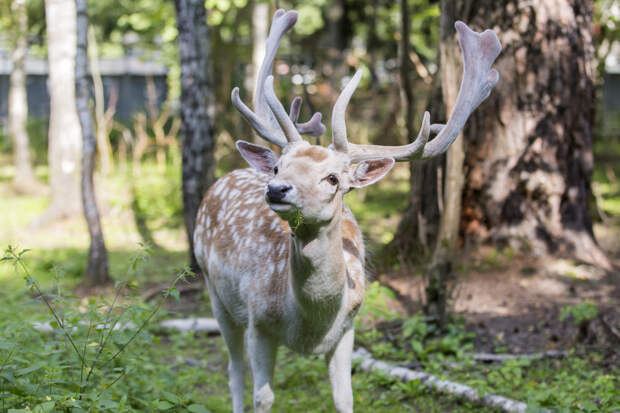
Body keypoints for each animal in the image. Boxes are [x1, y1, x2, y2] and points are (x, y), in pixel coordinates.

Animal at [191, 9, 502, 412]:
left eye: (333, 178)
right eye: (279, 168)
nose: (276, 189)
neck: (310, 321)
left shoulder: (348, 327)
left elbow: (344, 397)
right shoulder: (258, 321)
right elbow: (263, 397)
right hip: (215, 293)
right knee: (233, 369)